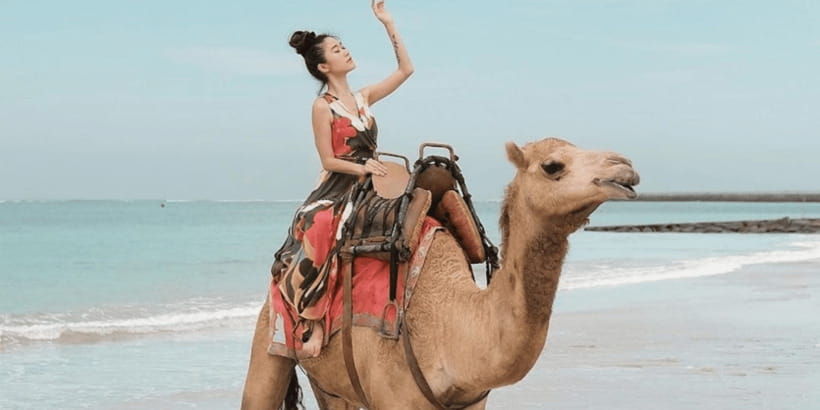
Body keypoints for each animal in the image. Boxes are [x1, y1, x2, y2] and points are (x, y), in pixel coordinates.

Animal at [242, 137, 640, 409]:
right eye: (553, 166)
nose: (625, 168)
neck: (450, 326)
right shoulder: (392, 396)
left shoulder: (472, 402)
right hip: (270, 333)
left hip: (328, 382)